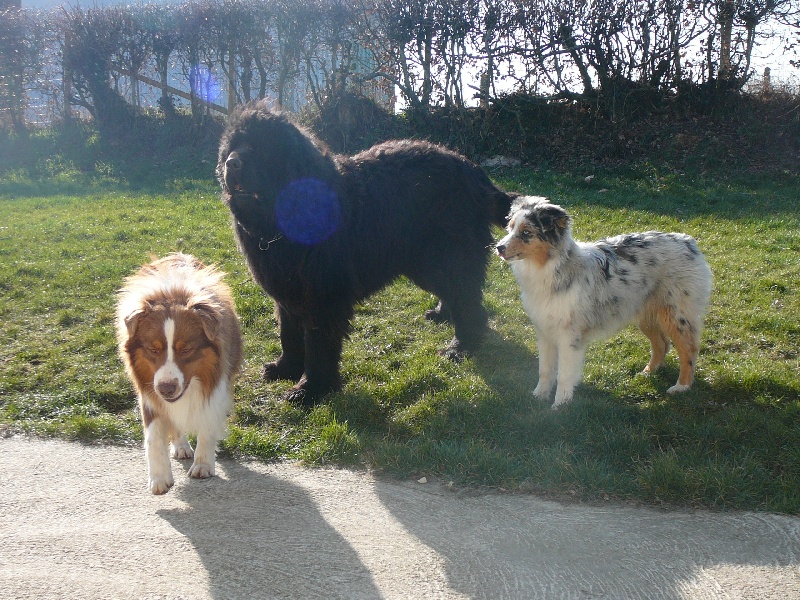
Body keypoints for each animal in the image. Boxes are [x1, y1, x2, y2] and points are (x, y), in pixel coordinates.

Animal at [115, 253, 241, 492]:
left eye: (186, 349)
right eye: (153, 349)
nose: (167, 388)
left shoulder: (216, 385)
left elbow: (207, 426)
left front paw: (203, 464)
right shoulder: (149, 392)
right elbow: (153, 437)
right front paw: (158, 478)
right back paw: (181, 446)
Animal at [219, 103, 516, 406]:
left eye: (262, 146)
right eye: (232, 145)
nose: (232, 163)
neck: (287, 218)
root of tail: (472, 171)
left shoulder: (324, 295)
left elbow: (318, 344)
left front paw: (310, 388)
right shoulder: (286, 292)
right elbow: (288, 333)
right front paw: (285, 368)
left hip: (447, 254)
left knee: (469, 302)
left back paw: (461, 346)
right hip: (425, 262)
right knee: (456, 293)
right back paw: (443, 314)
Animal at [494, 197, 712, 408]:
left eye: (526, 232)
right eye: (510, 227)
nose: (499, 247)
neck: (552, 269)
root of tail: (688, 241)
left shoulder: (569, 336)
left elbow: (564, 374)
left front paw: (560, 405)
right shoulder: (545, 331)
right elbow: (545, 369)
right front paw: (538, 396)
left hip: (676, 315)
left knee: (688, 349)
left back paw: (681, 386)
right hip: (645, 313)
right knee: (662, 344)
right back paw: (647, 373)